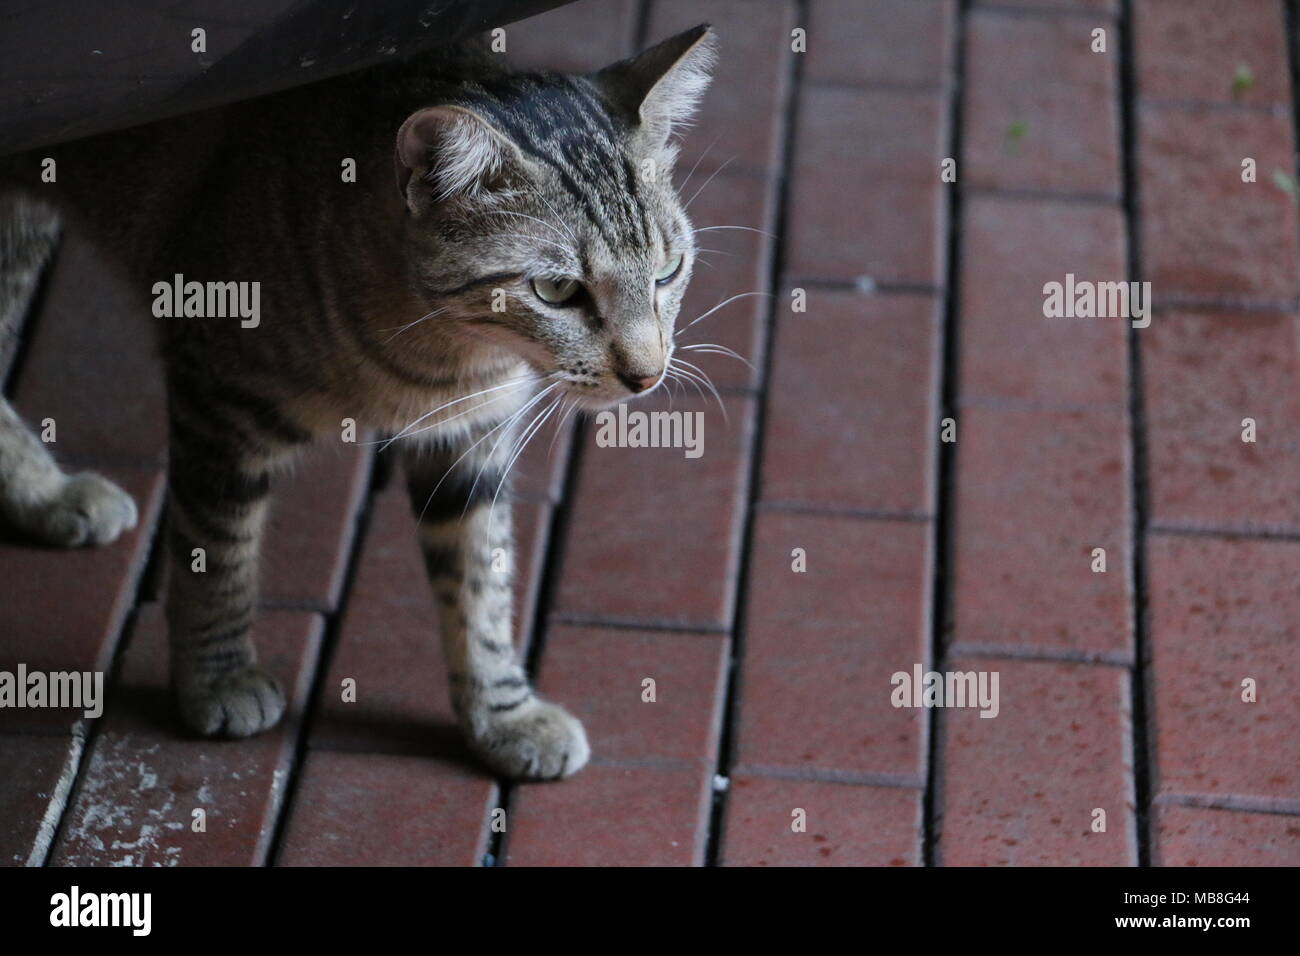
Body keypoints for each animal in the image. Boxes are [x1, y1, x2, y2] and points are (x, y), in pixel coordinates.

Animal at [0, 26, 717, 780]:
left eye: (668, 271)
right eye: (557, 291)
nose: (647, 375)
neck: (444, 357)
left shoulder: (471, 436)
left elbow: (480, 581)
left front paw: (503, 714)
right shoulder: (217, 397)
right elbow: (217, 555)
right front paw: (217, 680)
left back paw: (45, 494)